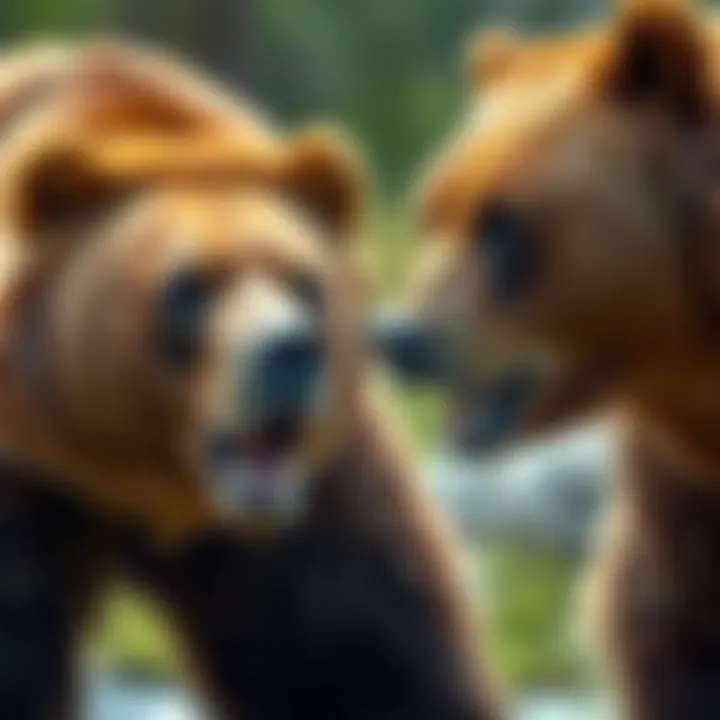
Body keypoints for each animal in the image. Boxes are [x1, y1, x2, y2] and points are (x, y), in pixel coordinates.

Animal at [0, 41, 505, 719]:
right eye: (190, 287)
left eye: (302, 280)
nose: (289, 351)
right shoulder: (25, 467)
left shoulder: (311, 495)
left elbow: (356, 651)